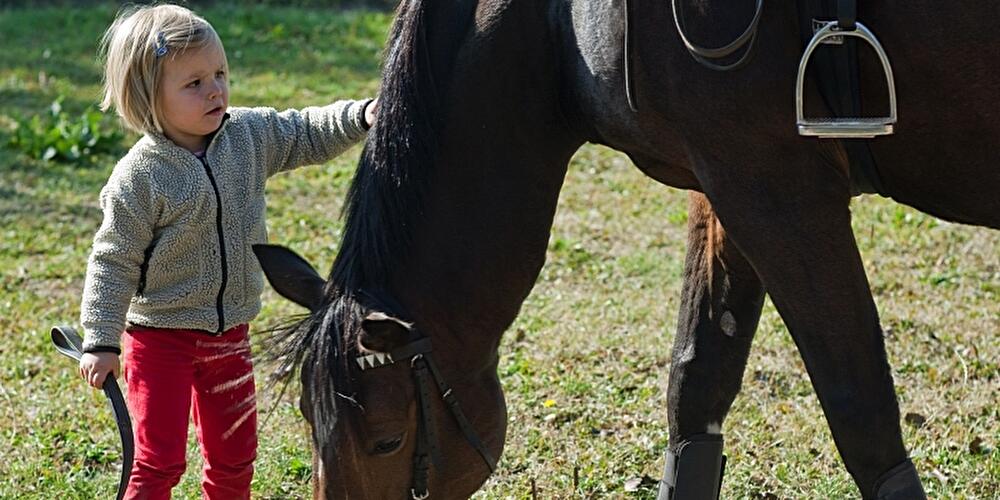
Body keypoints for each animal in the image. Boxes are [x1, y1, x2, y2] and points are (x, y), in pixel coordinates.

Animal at [255, 0, 999, 498]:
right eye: (311, 422)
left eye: (385, 439)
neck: (558, 26)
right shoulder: (723, 192)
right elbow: (695, 388)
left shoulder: (779, 192)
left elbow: (861, 413)